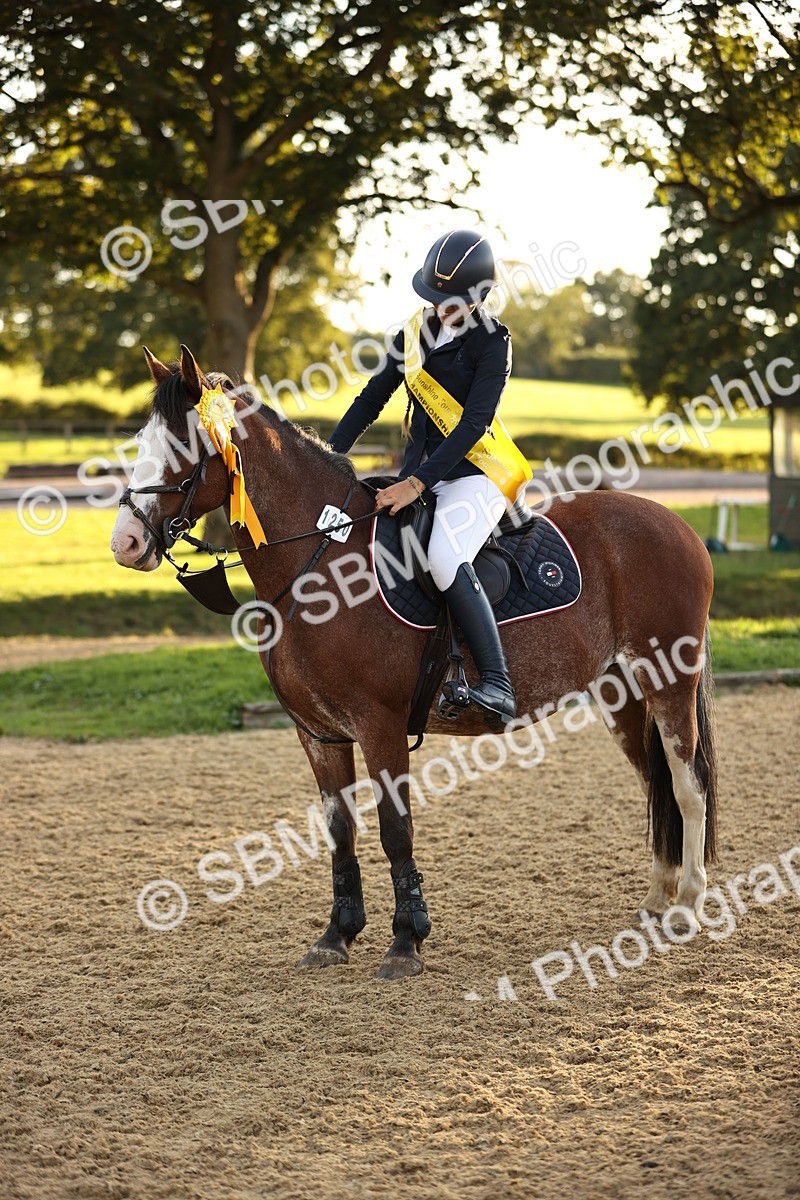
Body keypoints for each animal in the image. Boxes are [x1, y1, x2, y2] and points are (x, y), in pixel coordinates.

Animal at [110, 345, 718, 979]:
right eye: (140, 440)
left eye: (182, 446)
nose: (125, 542)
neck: (320, 561)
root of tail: (675, 523)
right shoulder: (319, 734)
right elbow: (341, 831)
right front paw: (336, 935)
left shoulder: (379, 726)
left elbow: (394, 831)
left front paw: (406, 940)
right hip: (622, 694)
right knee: (656, 785)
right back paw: (657, 899)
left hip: (670, 680)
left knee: (687, 785)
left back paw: (688, 906)